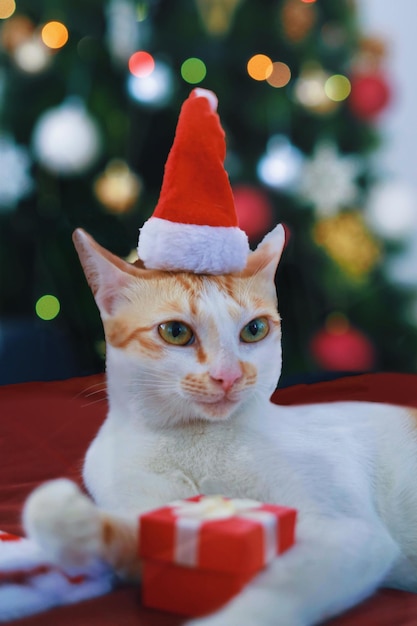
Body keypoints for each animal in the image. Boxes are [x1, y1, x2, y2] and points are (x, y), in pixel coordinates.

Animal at [23, 224, 417, 624]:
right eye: (175, 332)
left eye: (254, 329)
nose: (229, 375)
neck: (194, 442)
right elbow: (148, 540)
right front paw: (68, 523)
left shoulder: (347, 532)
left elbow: (277, 591)